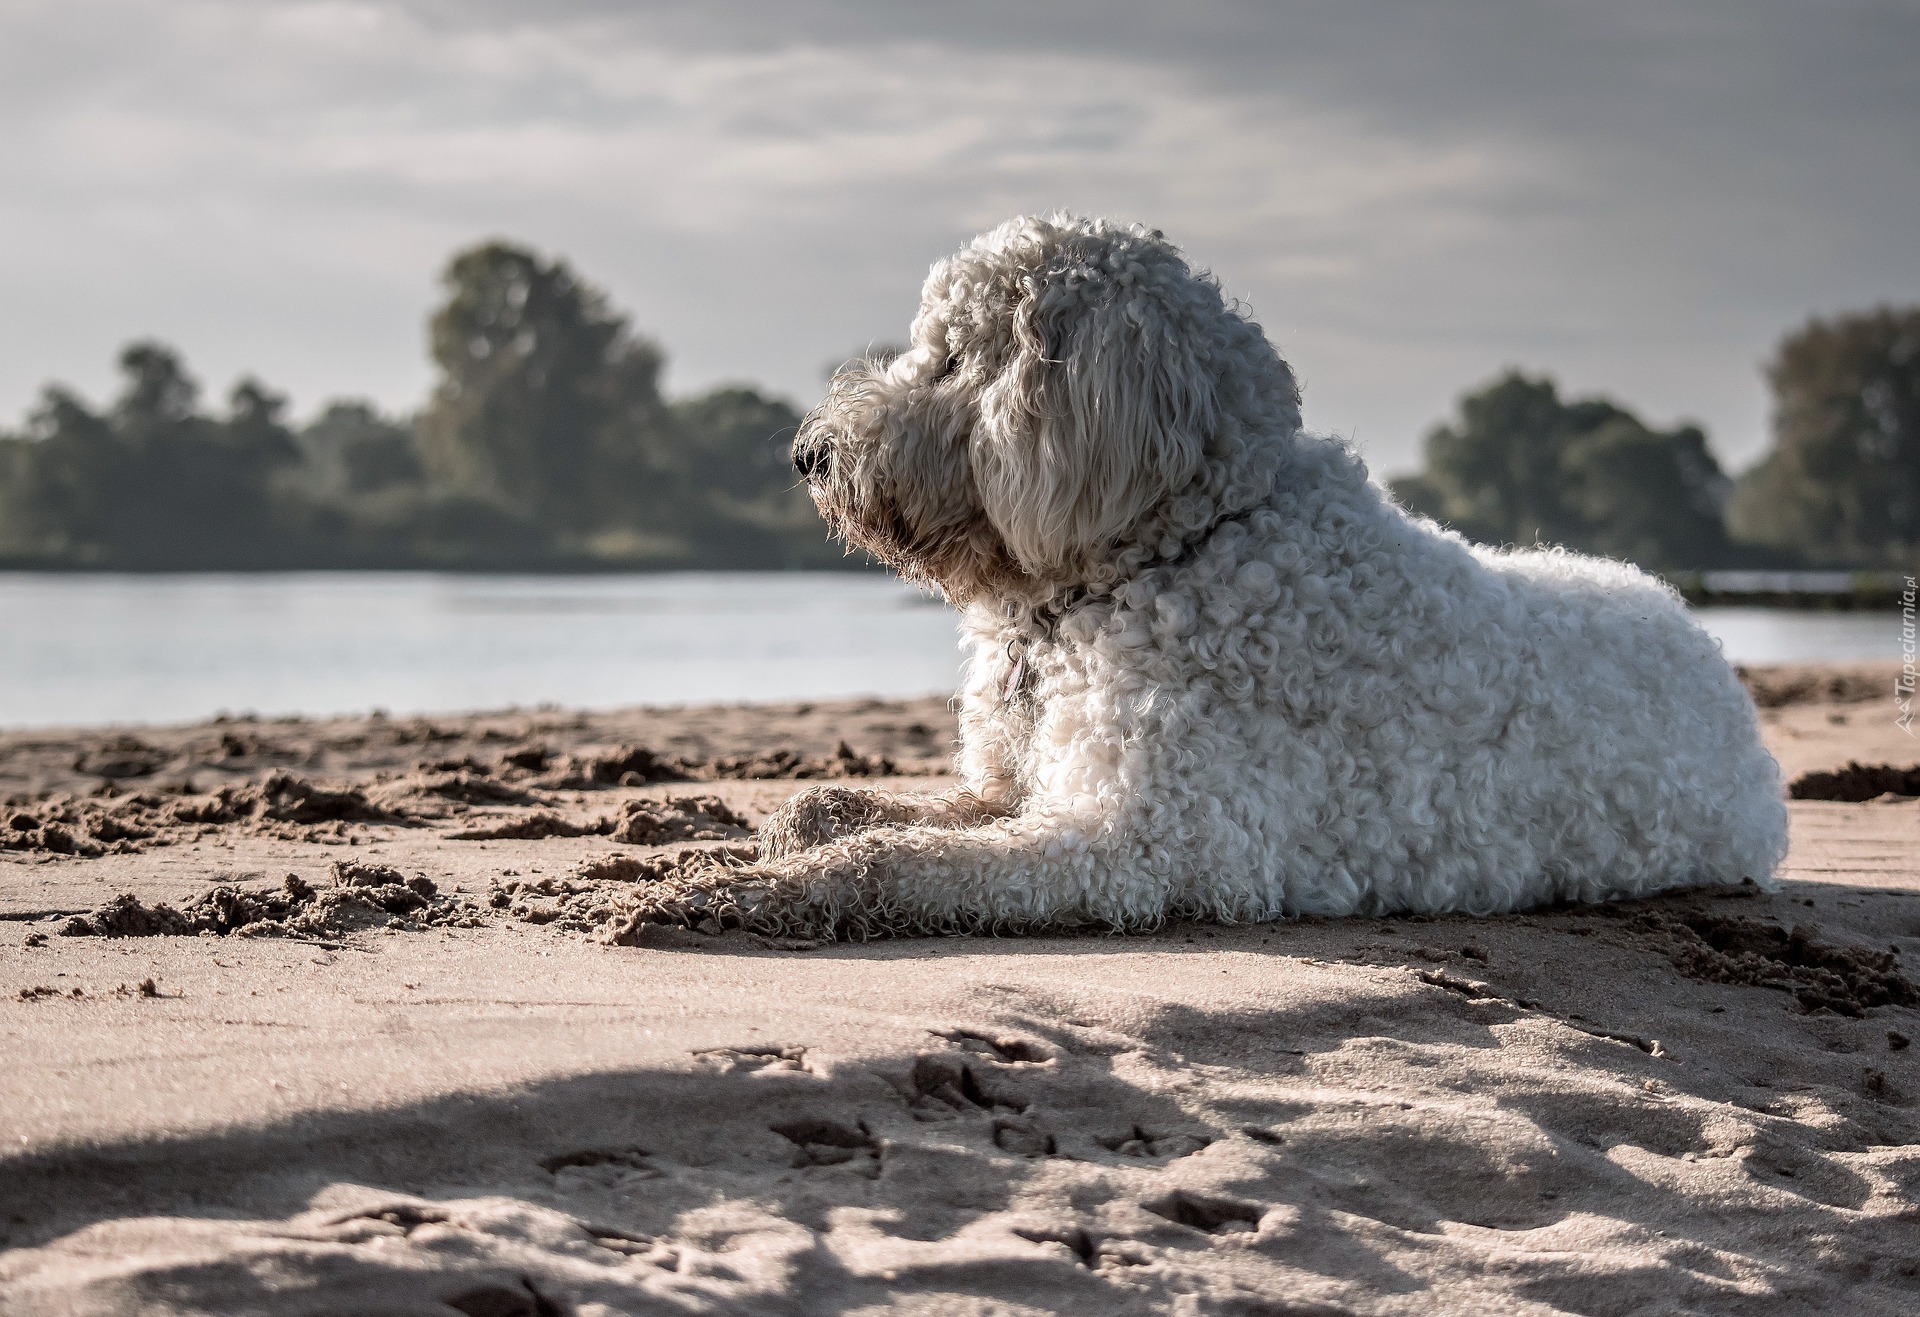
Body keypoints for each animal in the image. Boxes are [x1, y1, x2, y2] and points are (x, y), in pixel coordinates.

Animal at [622, 214, 1789, 940]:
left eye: (954, 358)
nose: (808, 453)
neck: (1168, 547)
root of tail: (1702, 639)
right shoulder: (1020, 787)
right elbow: (880, 811)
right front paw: (791, 822)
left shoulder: (1144, 842)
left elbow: (897, 862)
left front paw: (746, 889)